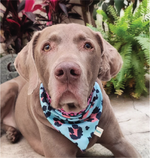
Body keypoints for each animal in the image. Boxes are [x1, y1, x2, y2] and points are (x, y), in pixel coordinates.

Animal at [0, 23, 141, 158]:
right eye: (47, 47)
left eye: (88, 45)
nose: (67, 71)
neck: (74, 115)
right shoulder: (59, 153)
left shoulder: (119, 142)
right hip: (8, 89)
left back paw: (12, 132)